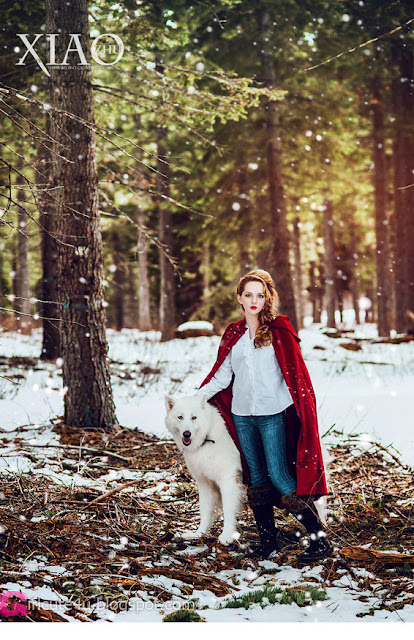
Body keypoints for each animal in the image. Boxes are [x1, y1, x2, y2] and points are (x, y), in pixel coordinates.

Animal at [163, 396, 244, 544]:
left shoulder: (228, 480)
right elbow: (205, 511)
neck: (206, 439)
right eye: (180, 417)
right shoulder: (205, 483)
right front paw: (199, 533)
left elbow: (228, 509)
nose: (187, 434)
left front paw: (227, 536)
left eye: (194, 417)